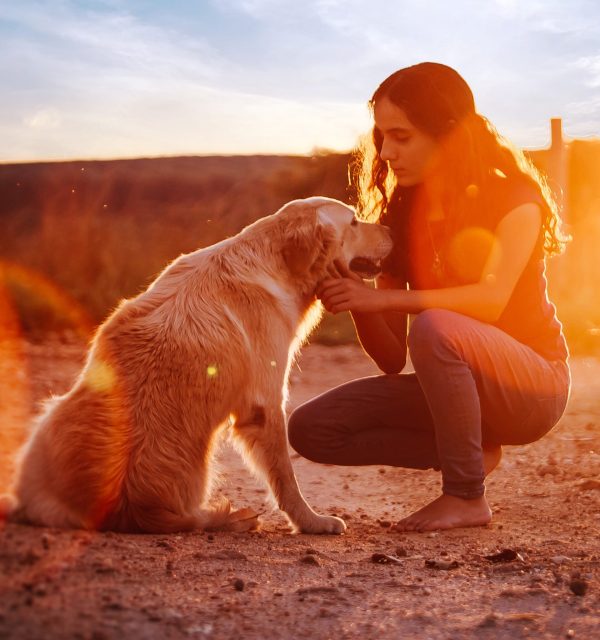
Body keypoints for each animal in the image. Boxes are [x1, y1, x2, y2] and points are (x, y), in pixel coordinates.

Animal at [2, 196, 394, 536]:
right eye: (354, 221)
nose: (391, 228)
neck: (275, 261)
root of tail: (128, 509)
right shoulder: (265, 403)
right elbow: (285, 476)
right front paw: (311, 521)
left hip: (51, 415)